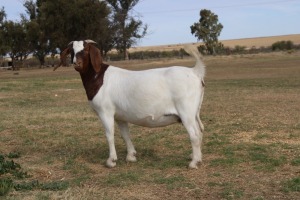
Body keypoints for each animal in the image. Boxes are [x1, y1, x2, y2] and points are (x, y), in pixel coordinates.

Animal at [54, 39, 206, 169]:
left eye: (85, 50)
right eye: (72, 51)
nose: (76, 63)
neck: (99, 78)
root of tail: (195, 72)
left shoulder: (105, 112)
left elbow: (109, 135)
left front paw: (111, 160)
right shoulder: (120, 116)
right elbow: (125, 135)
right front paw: (131, 156)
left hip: (186, 111)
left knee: (194, 135)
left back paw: (194, 163)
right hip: (193, 113)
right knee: (199, 132)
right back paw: (196, 157)